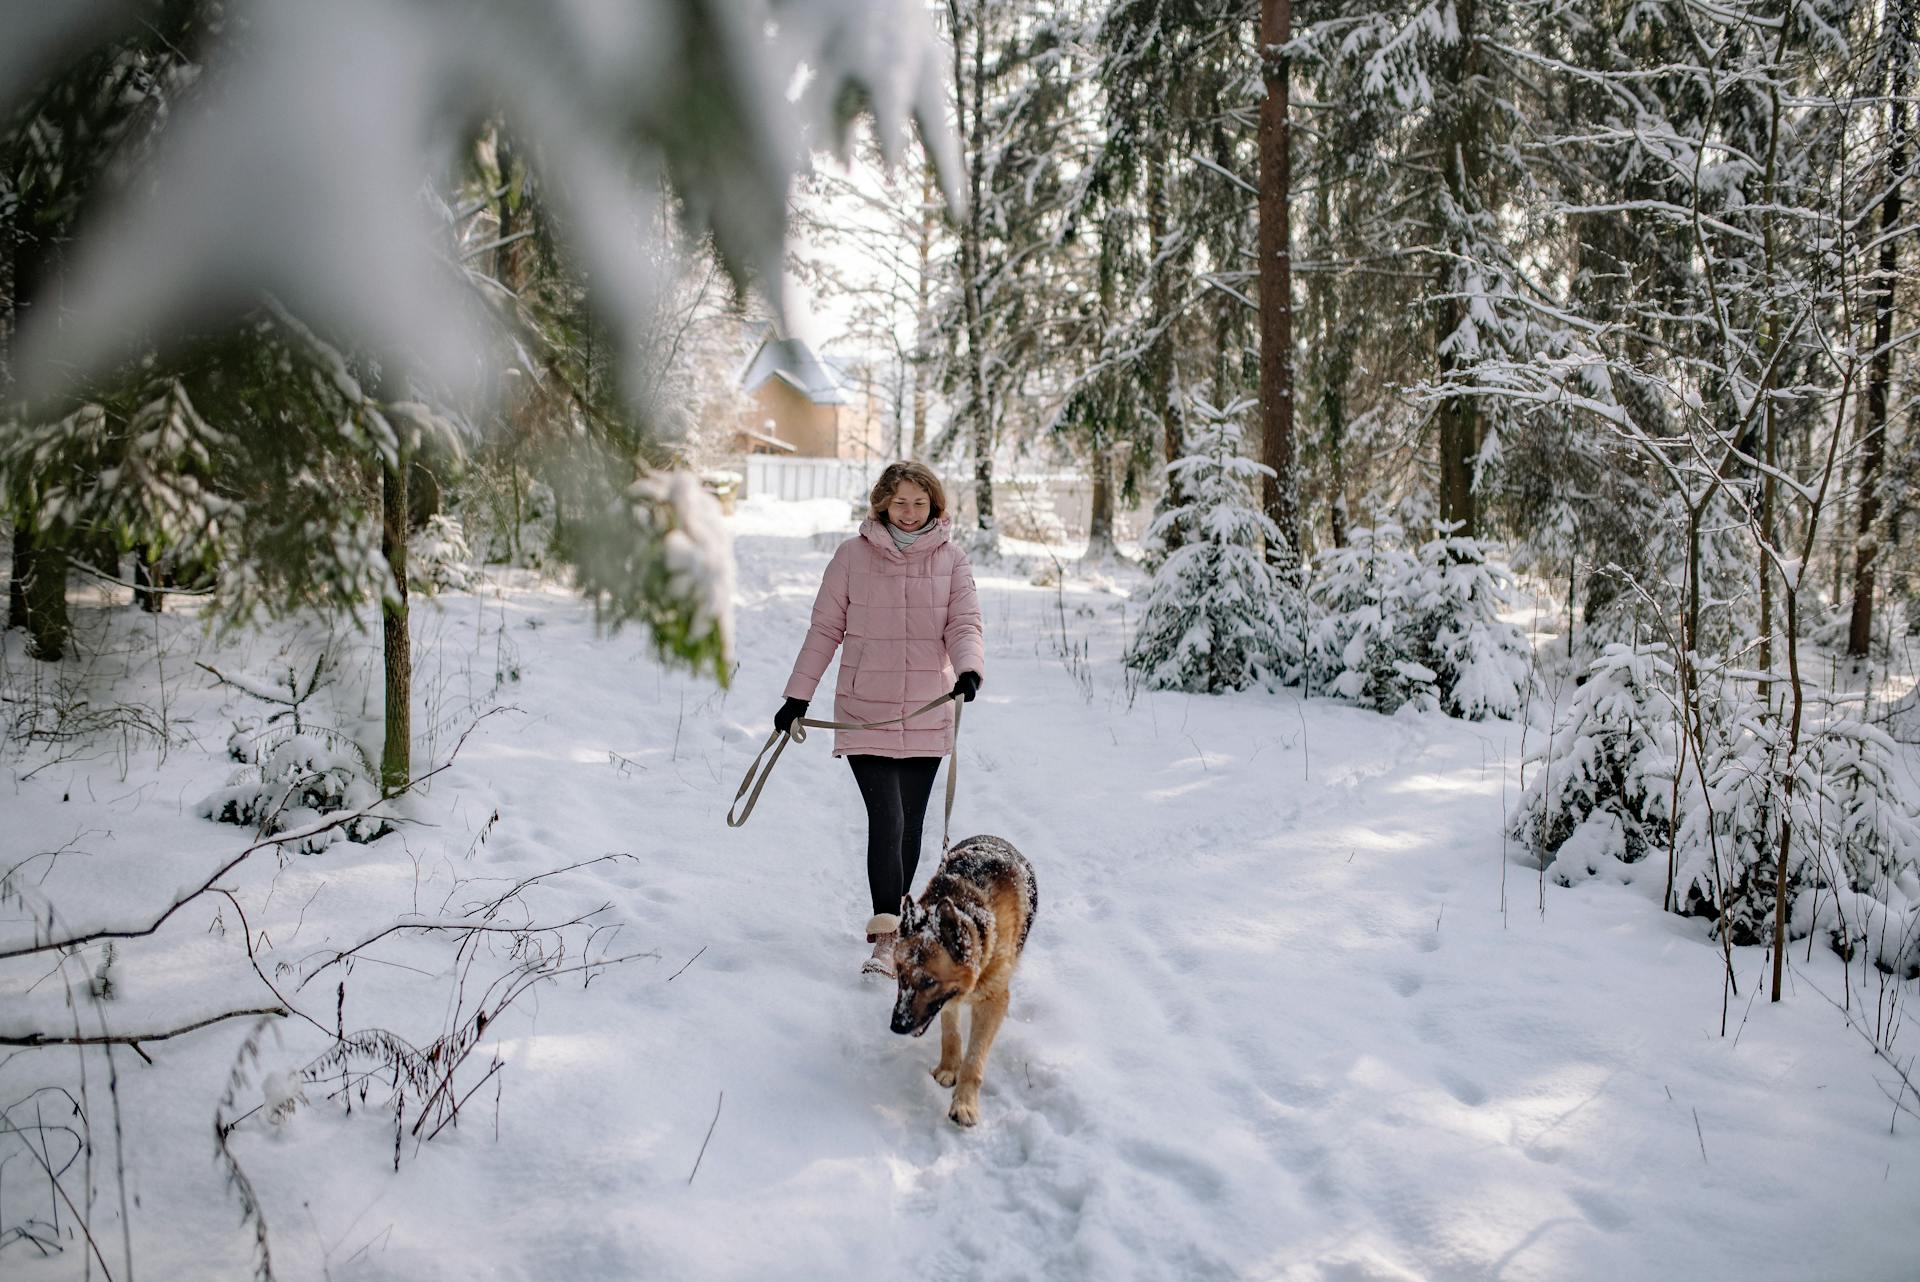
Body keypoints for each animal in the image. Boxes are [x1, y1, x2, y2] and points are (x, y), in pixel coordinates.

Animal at [890, 836, 1044, 1128]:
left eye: (929, 981)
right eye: (900, 974)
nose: (897, 1026)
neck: (972, 915)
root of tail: (995, 838)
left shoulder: (992, 1002)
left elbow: (974, 1060)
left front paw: (965, 1104)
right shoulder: (948, 1001)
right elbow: (951, 1033)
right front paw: (949, 1067)